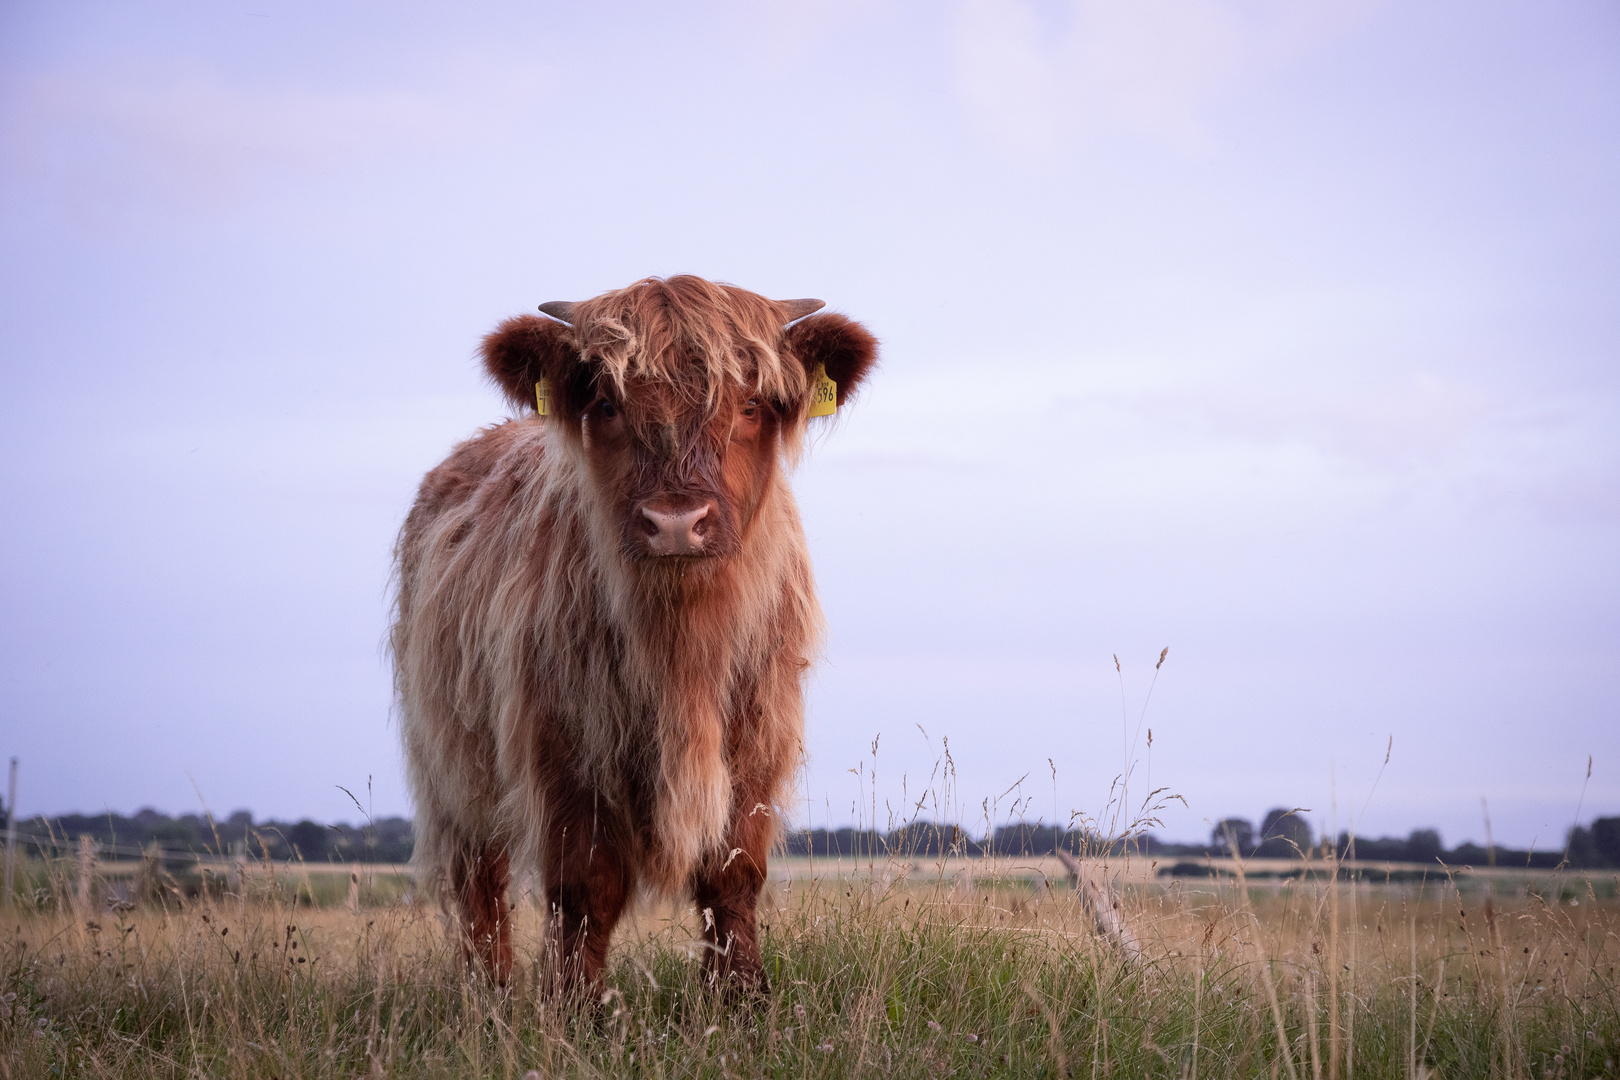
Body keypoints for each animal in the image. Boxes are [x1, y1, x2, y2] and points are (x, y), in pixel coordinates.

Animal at [388, 275, 874, 990]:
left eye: (751, 403)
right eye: (608, 404)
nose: (676, 522)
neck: (682, 644)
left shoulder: (758, 740)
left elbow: (732, 878)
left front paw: (742, 999)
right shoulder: (562, 747)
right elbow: (586, 890)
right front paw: (574, 1004)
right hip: (449, 762)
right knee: (478, 880)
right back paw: (490, 994)